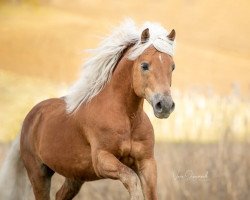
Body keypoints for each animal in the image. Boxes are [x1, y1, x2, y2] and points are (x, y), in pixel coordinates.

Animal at [0, 19, 176, 199]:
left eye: (172, 67)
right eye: (144, 65)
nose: (165, 105)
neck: (127, 119)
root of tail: (31, 117)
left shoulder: (147, 163)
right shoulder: (102, 160)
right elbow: (131, 179)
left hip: (75, 176)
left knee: (59, 195)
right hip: (38, 174)